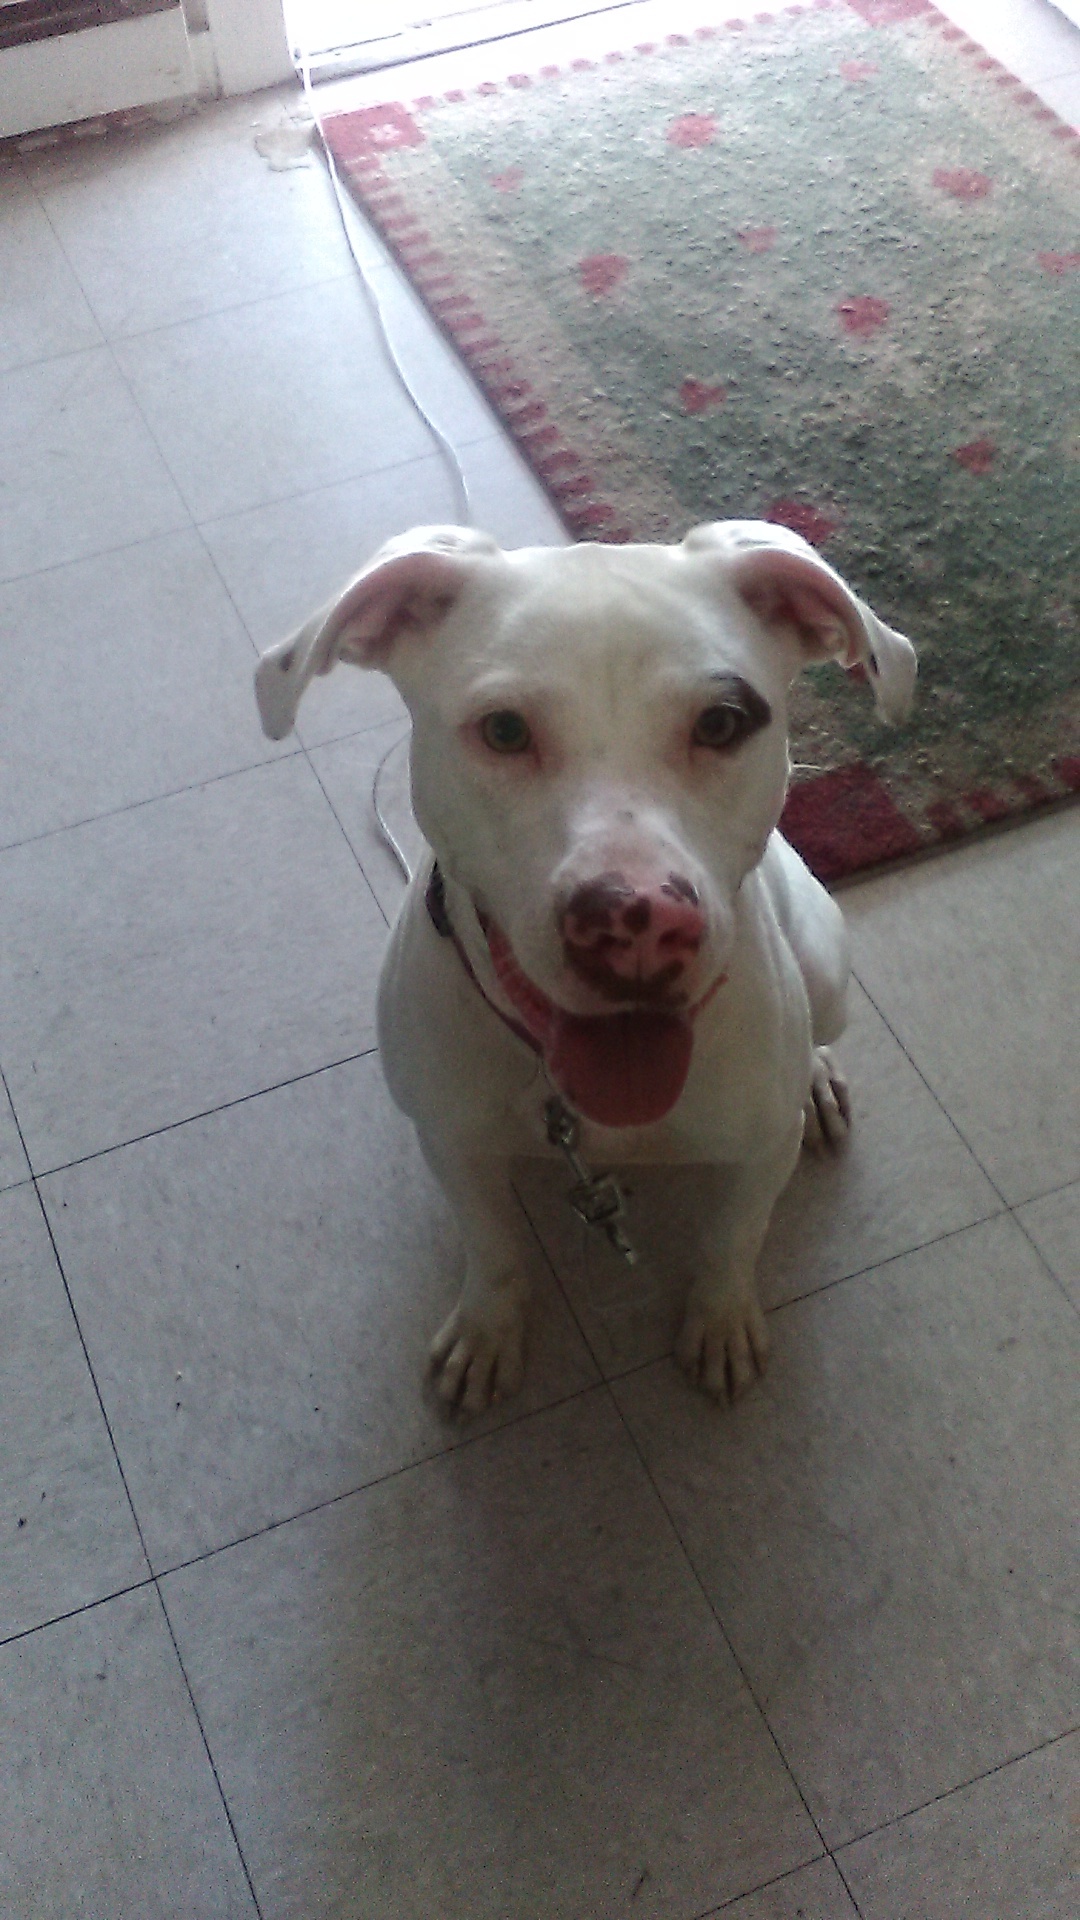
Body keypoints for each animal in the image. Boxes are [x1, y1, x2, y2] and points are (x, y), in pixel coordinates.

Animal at [255, 522, 910, 1413]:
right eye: (503, 731)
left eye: (722, 723)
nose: (640, 921)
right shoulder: (451, 1142)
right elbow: (493, 1246)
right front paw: (488, 1330)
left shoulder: (758, 1156)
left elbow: (734, 1236)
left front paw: (720, 1318)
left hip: (824, 961)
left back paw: (814, 1078)